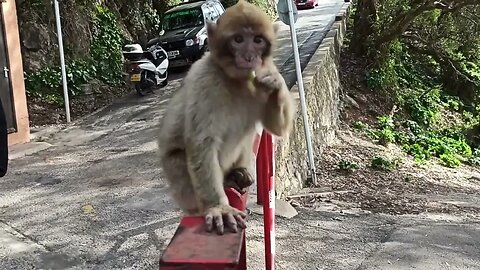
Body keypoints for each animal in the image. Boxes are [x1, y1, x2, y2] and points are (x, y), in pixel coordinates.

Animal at [157, 0, 296, 234]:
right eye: (238, 40)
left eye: (257, 40)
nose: (249, 57)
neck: (236, 80)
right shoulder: (205, 80)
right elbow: (202, 143)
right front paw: (218, 208)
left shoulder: (263, 70)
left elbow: (275, 127)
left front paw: (276, 83)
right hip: (183, 190)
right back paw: (226, 184)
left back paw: (237, 173)